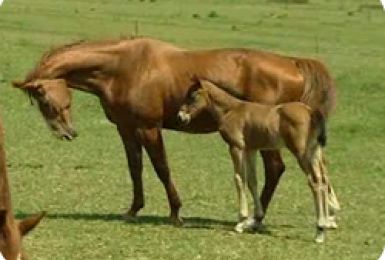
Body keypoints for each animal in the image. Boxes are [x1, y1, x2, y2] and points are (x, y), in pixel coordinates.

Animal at [178, 80, 340, 243]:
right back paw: (327, 222)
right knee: (323, 179)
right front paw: (255, 218)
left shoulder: (236, 147)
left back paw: (320, 230)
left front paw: (241, 221)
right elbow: (252, 180)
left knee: (315, 182)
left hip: (302, 153)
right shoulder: (251, 150)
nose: (181, 116)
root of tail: (310, 112)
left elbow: (239, 179)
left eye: (192, 96)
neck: (231, 110)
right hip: (315, 152)